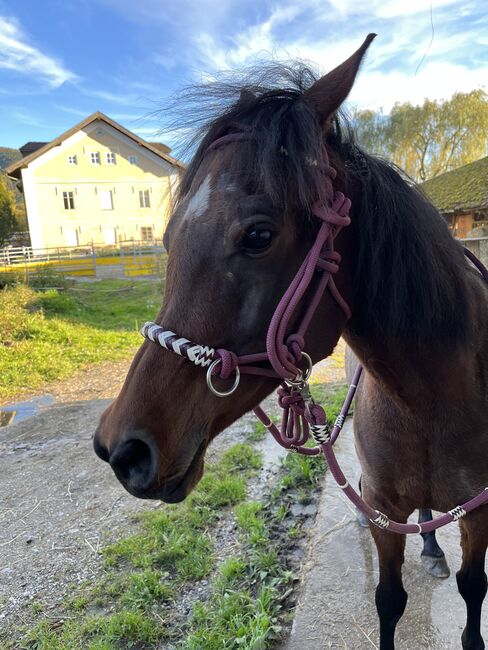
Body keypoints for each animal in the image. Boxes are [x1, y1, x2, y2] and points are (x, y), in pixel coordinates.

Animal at [93, 35, 486, 648]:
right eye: (169, 237)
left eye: (258, 234)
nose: (121, 448)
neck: (431, 404)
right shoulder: (383, 511)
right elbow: (389, 601)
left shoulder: (480, 515)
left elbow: (474, 593)